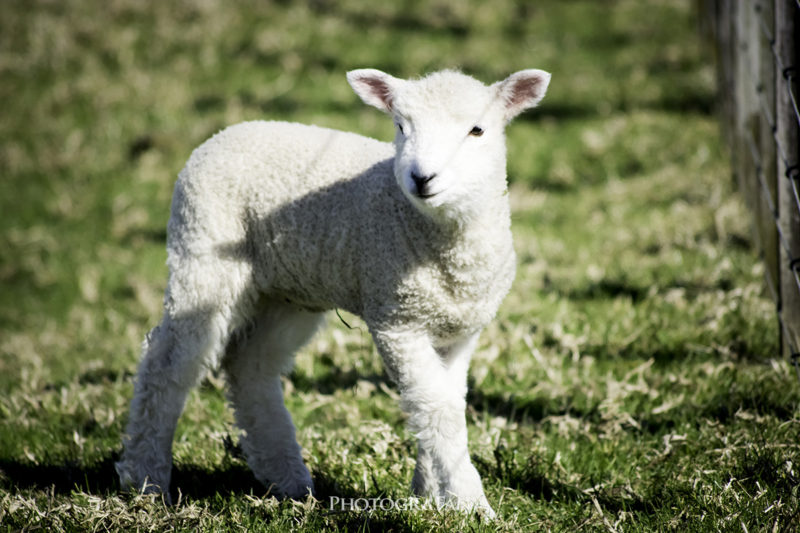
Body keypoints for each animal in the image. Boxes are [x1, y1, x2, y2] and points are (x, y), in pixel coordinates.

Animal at [115, 66, 552, 516]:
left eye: (477, 130)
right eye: (400, 126)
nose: (421, 178)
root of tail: (223, 134)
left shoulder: (460, 331)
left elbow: (441, 402)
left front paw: (430, 494)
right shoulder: (397, 319)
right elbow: (436, 407)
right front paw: (469, 502)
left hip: (287, 291)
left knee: (250, 365)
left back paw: (287, 479)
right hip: (202, 254)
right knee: (168, 365)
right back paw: (147, 480)